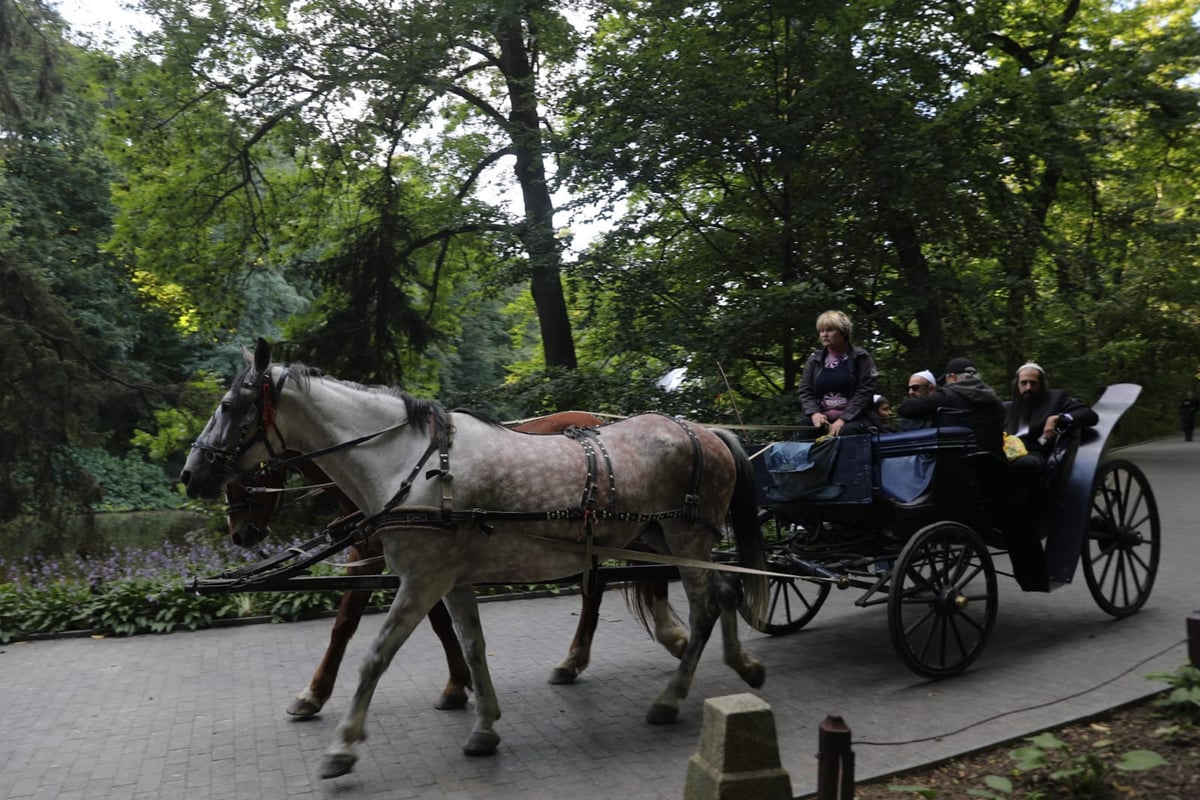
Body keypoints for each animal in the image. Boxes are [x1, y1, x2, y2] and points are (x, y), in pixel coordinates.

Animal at [220, 412, 681, 719]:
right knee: (609, 582)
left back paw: (661, 637)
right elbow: (352, 622)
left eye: (238, 469)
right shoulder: (381, 556)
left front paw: (457, 684)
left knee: (638, 577)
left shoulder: (419, 560)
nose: (238, 534)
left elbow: (420, 623)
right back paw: (579, 658)